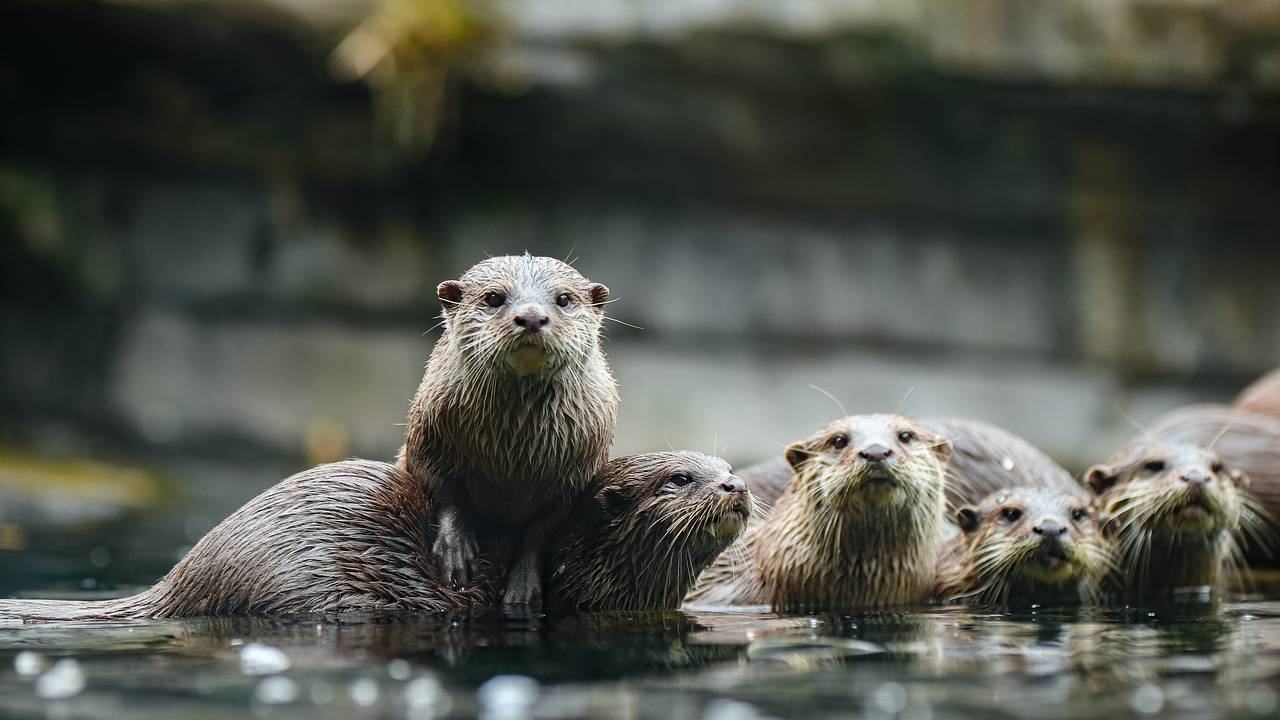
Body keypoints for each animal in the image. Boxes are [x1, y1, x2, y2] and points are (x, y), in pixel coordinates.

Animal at [399, 254, 619, 602]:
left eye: (563, 298)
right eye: (493, 298)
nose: (531, 317)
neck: (511, 462)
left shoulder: (577, 474)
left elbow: (541, 529)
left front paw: (523, 585)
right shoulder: (426, 438)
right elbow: (444, 490)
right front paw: (455, 550)